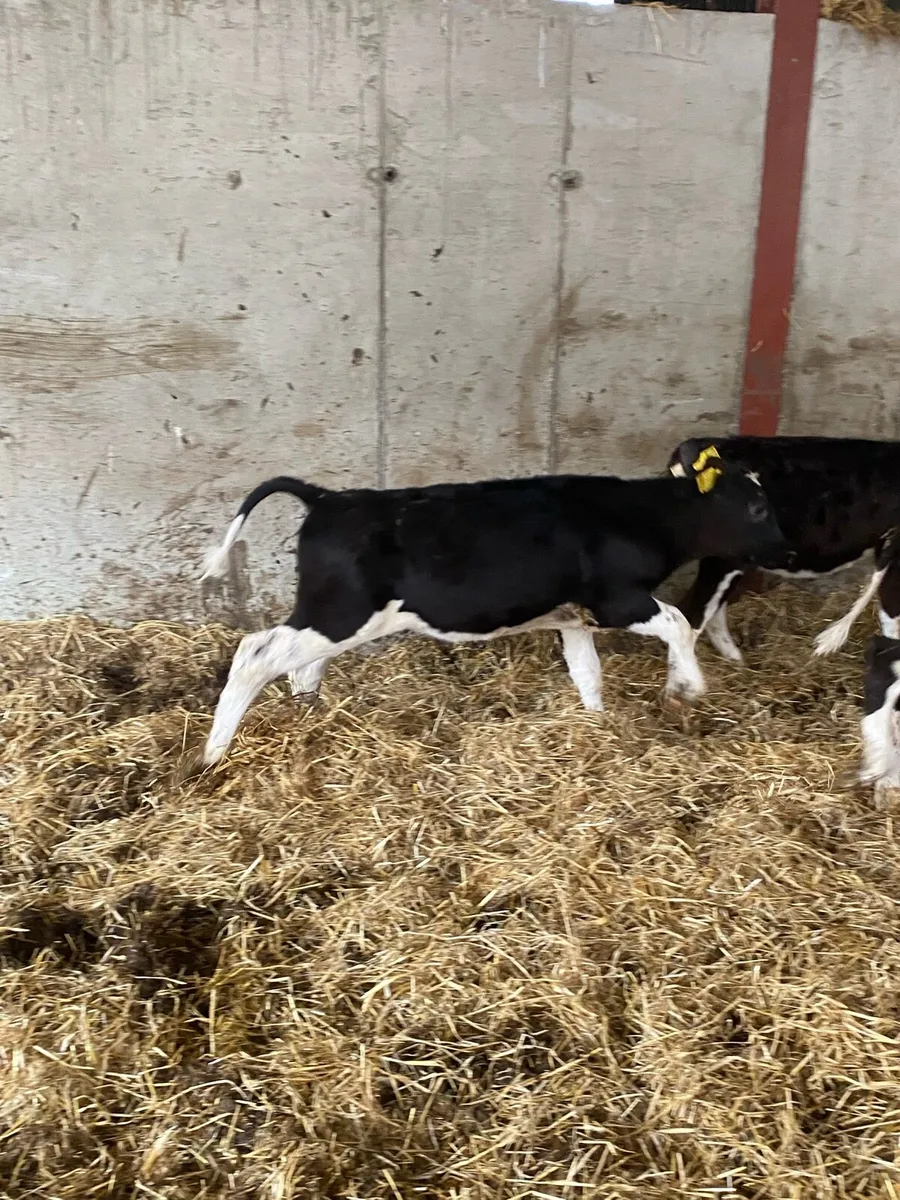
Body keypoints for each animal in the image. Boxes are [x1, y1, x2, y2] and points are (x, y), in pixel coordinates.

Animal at [198, 451, 783, 765]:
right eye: (756, 506)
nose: (788, 549)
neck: (643, 516)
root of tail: (327, 498)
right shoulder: (616, 600)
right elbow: (680, 623)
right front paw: (686, 688)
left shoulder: (573, 616)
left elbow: (587, 674)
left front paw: (597, 726)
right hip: (340, 613)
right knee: (255, 654)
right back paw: (212, 756)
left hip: (332, 616)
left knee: (299, 666)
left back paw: (309, 724)